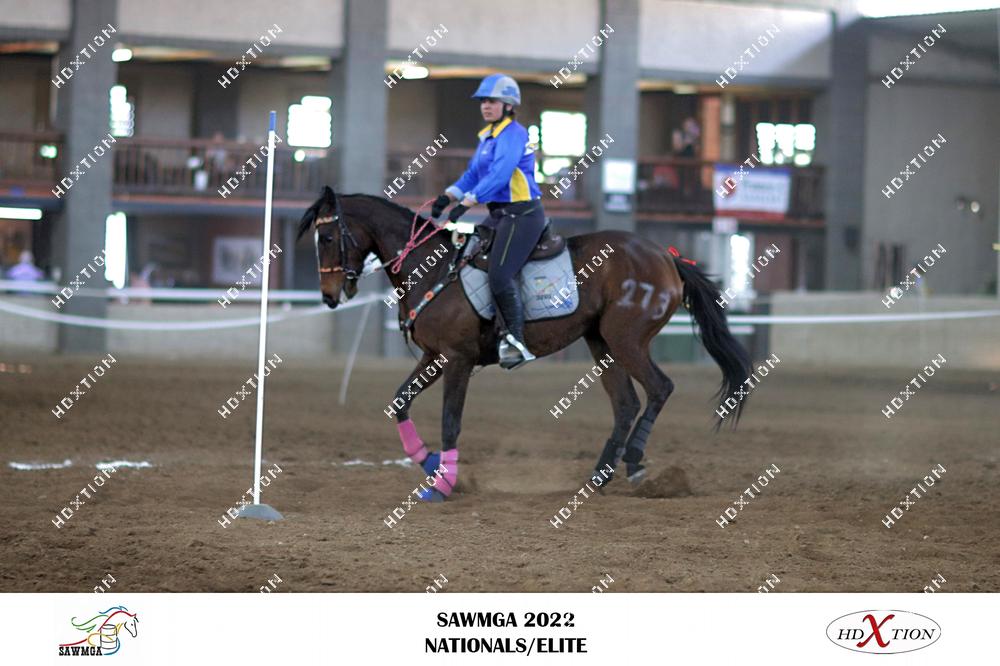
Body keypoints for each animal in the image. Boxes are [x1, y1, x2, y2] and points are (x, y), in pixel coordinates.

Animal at [298, 186, 752, 501]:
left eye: (326, 239)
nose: (328, 295)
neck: (432, 268)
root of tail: (665, 255)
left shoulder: (457, 360)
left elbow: (450, 421)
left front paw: (445, 482)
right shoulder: (433, 357)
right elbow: (399, 402)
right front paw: (430, 464)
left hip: (627, 341)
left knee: (660, 388)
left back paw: (636, 464)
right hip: (601, 343)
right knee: (626, 404)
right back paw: (598, 477)